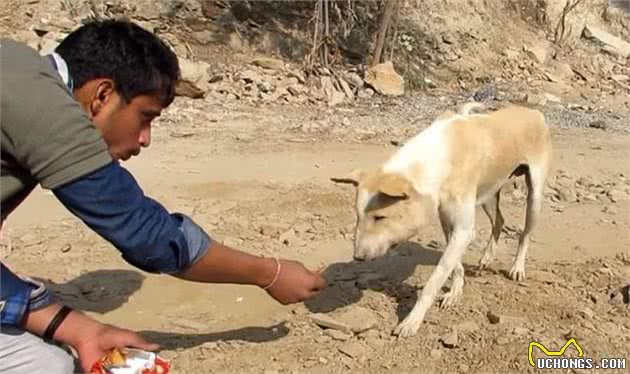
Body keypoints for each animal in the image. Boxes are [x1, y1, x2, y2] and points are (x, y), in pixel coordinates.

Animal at [334, 103, 556, 338]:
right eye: (357, 215)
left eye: (380, 217)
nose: (357, 257)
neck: (437, 156)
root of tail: (533, 112)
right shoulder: (446, 221)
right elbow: (453, 264)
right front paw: (455, 292)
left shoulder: (463, 229)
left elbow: (435, 280)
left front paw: (412, 321)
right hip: (488, 193)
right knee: (499, 220)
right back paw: (487, 258)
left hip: (534, 197)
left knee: (525, 233)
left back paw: (517, 268)